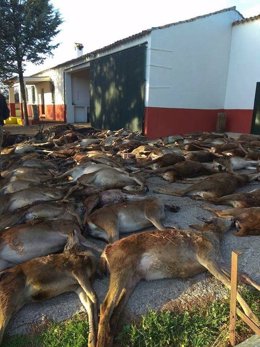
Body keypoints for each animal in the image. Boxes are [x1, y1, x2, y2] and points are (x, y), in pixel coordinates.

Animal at [96, 220, 260, 347]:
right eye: (215, 219)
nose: (233, 219)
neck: (212, 238)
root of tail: (106, 251)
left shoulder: (218, 260)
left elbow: (243, 276)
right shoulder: (207, 259)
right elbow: (229, 283)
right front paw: (253, 318)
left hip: (132, 279)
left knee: (116, 311)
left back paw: (108, 339)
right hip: (121, 270)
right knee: (105, 305)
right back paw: (98, 342)